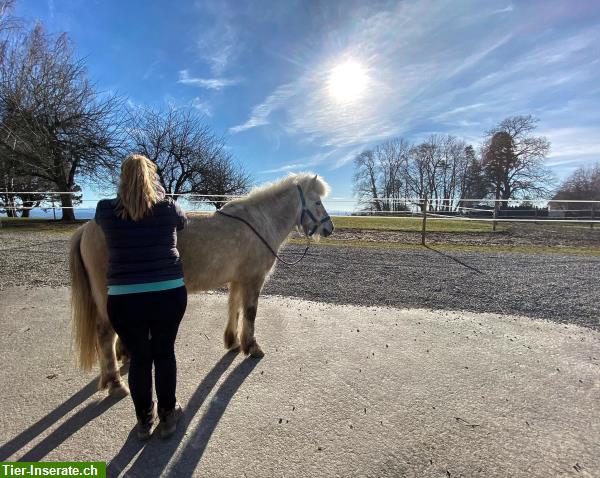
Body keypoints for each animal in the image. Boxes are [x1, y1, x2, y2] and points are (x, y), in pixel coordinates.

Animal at [70, 174, 336, 398]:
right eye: (317, 202)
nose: (329, 228)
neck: (259, 223)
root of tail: (87, 227)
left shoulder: (238, 280)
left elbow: (234, 308)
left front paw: (233, 342)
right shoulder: (253, 280)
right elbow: (250, 313)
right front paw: (252, 347)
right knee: (105, 333)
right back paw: (115, 383)